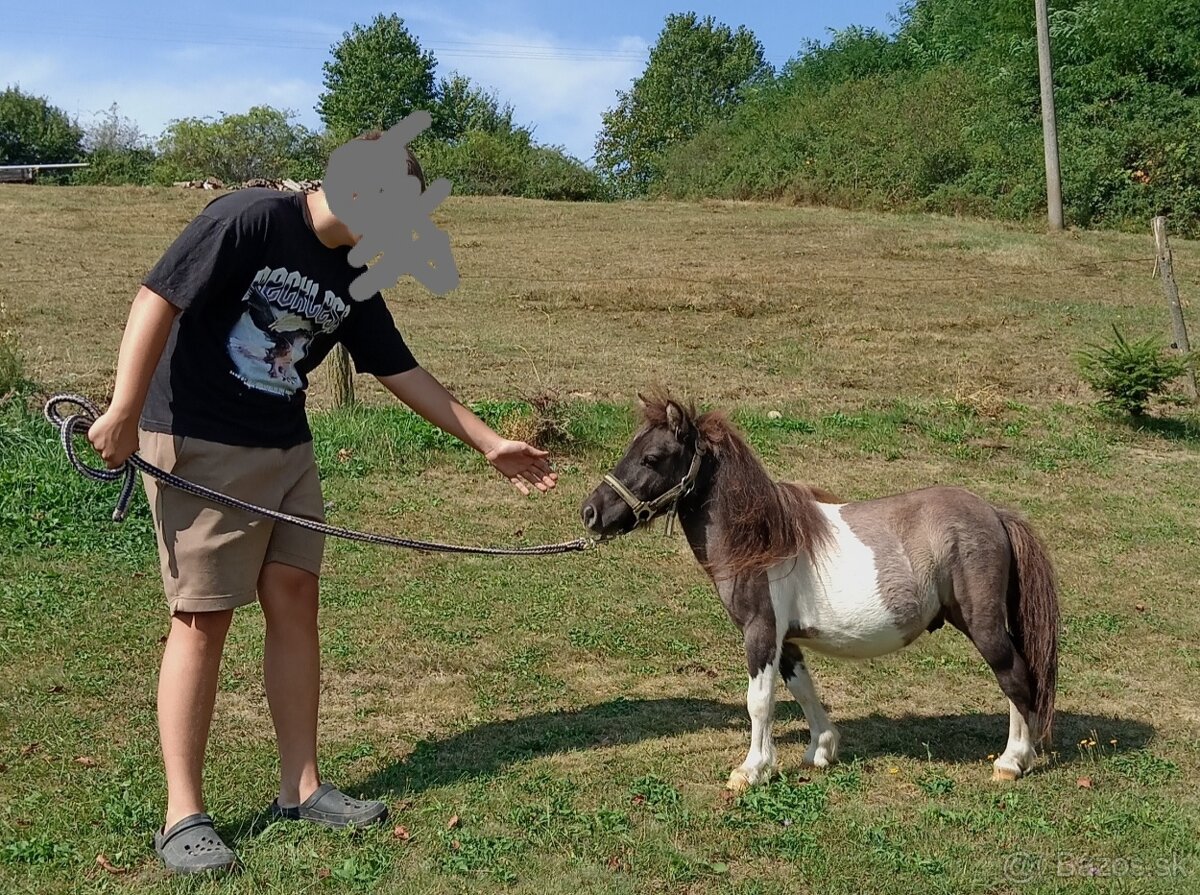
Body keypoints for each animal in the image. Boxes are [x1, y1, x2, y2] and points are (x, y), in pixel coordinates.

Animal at [579, 395, 1059, 791]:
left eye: (652, 457)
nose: (590, 512)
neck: (761, 540)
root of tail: (994, 514)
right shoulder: (785, 641)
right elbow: (803, 691)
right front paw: (820, 750)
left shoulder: (760, 633)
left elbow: (759, 702)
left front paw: (751, 770)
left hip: (984, 625)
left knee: (1015, 678)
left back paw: (1012, 761)